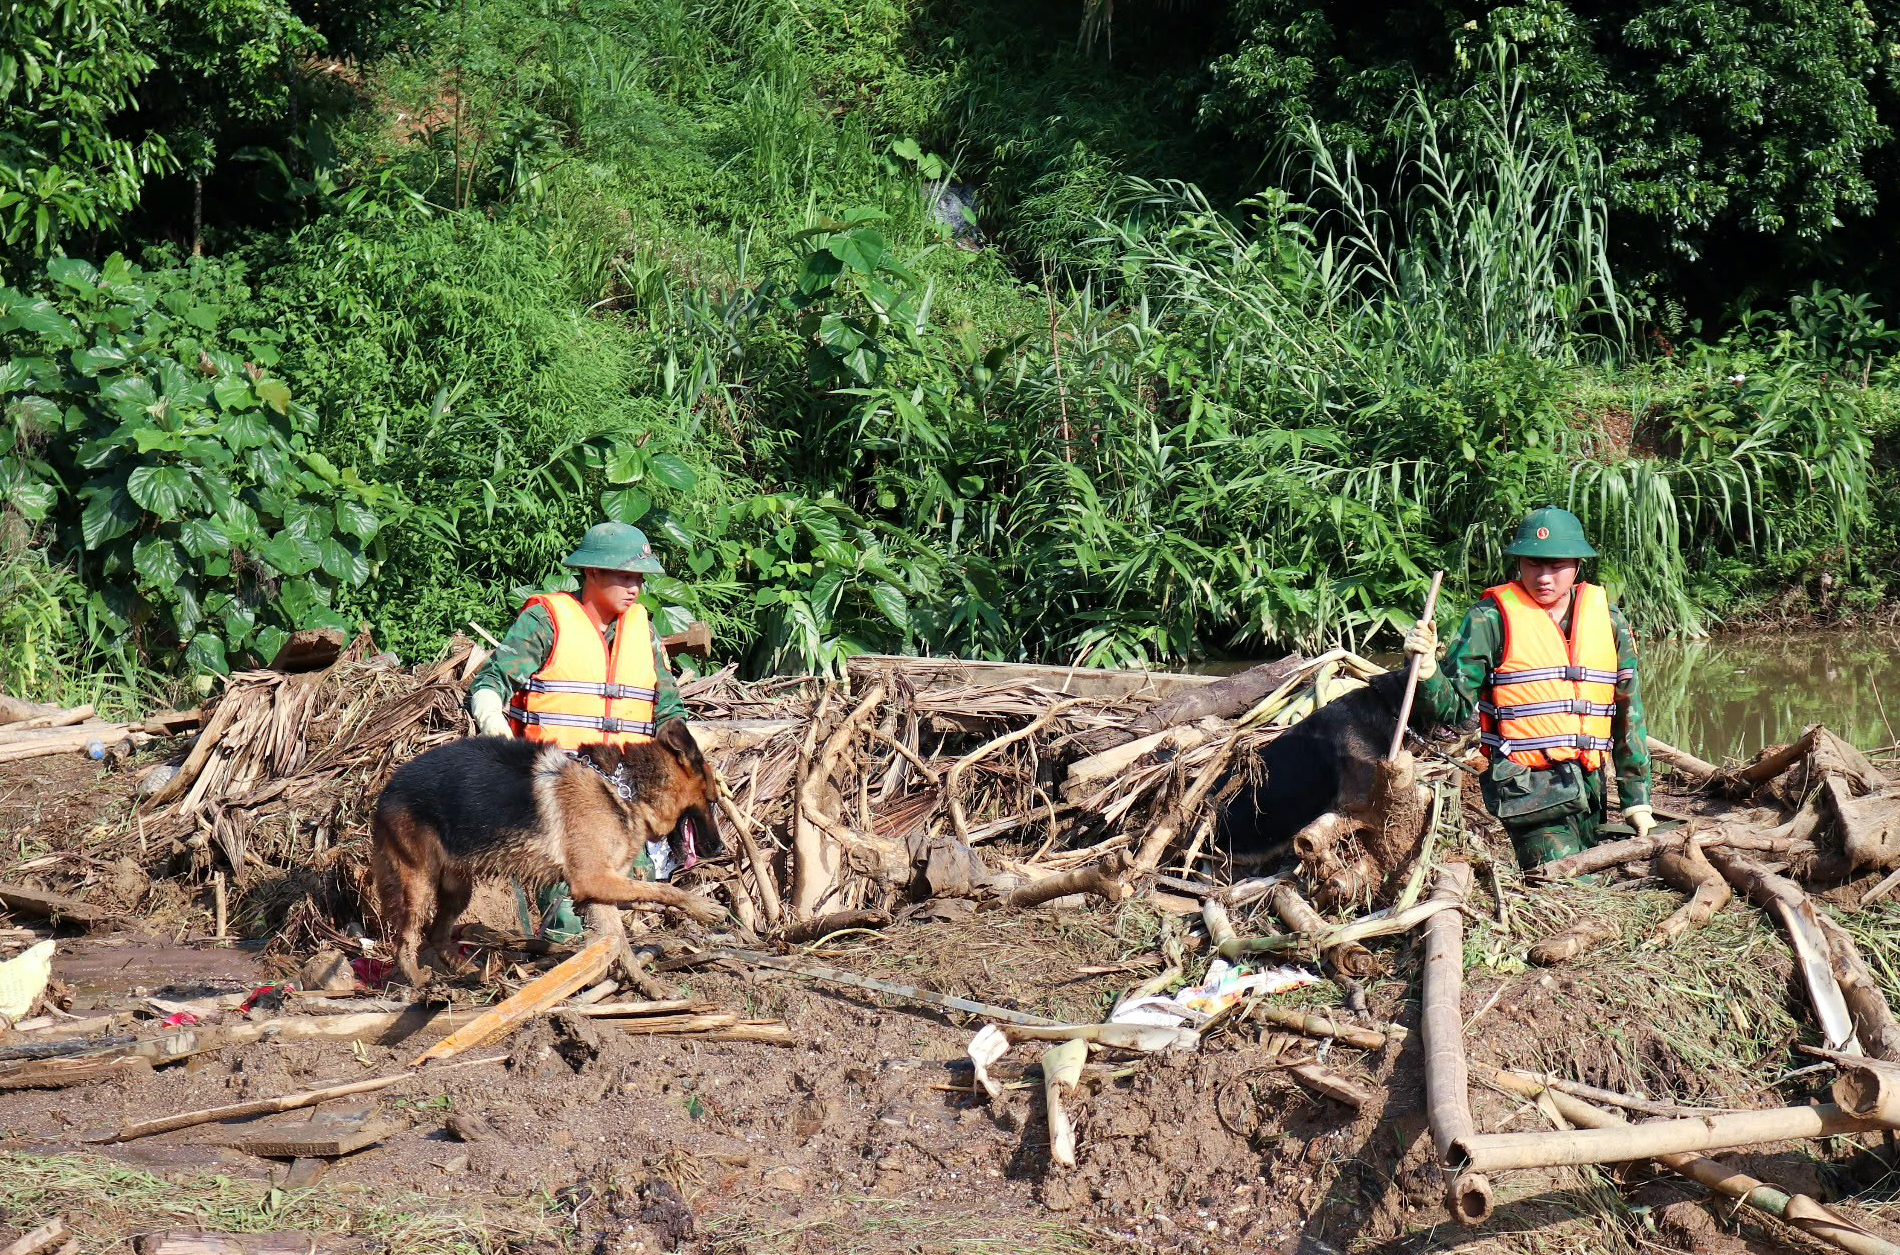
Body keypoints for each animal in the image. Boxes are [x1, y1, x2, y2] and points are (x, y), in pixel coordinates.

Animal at [370, 717, 725, 987]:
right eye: (712, 801)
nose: (721, 848)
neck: (622, 789)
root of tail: (386, 790)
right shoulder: (593, 880)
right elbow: (663, 890)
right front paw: (701, 907)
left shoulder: (598, 889)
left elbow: (620, 942)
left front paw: (646, 985)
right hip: (419, 884)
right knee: (406, 940)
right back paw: (419, 981)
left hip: (457, 887)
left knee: (437, 934)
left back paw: (469, 972)